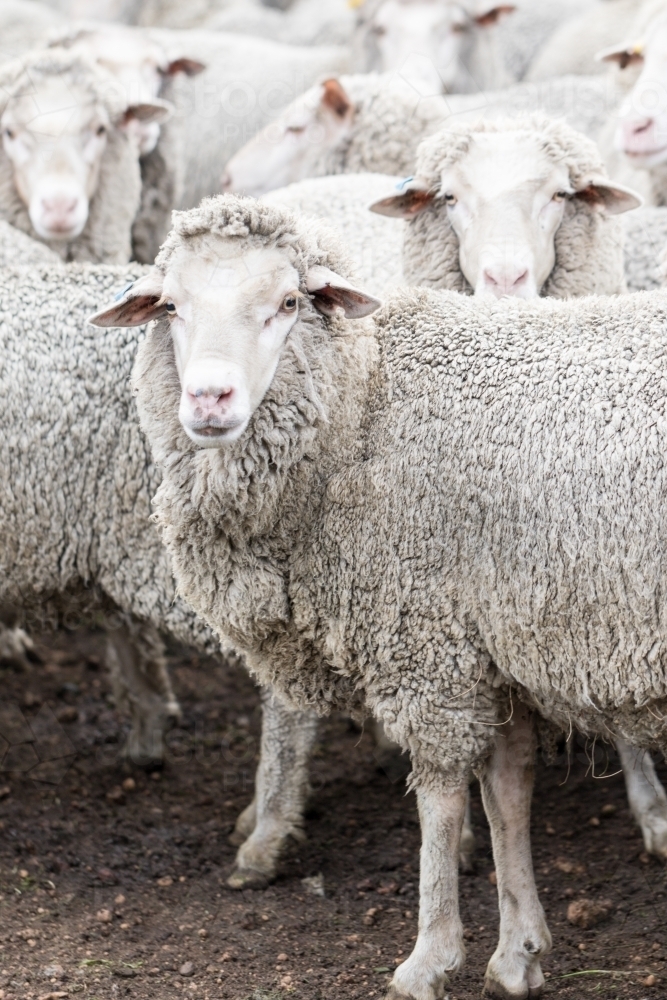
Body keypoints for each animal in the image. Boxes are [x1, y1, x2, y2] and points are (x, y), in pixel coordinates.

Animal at [92, 191, 667, 996]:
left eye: (289, 302)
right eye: (170, 306)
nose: (208, 398)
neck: (365, 403)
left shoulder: (423, 640)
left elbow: (442, 798)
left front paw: (429, 956)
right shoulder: (482, 640)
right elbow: (506, 790)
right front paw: (517, 952)